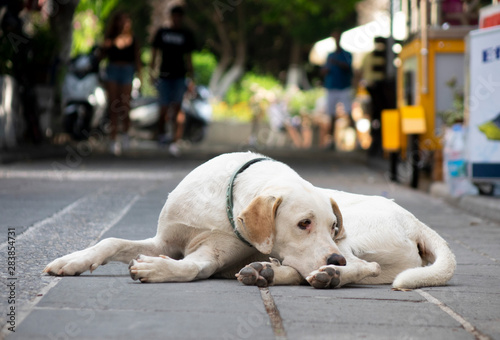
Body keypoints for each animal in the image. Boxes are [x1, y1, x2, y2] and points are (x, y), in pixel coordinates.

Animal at [45, 152, 456, 290]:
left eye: (331, 226)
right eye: (304, 223)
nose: (334, 256)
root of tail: (415, 222)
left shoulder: (211, 254)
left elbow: (193, 268)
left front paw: (156, 270)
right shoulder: (165, 241)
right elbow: (111, 241)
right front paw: (72, 260)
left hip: (359, 235)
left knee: (364, 267)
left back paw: (325, 275)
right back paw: (272, 272)